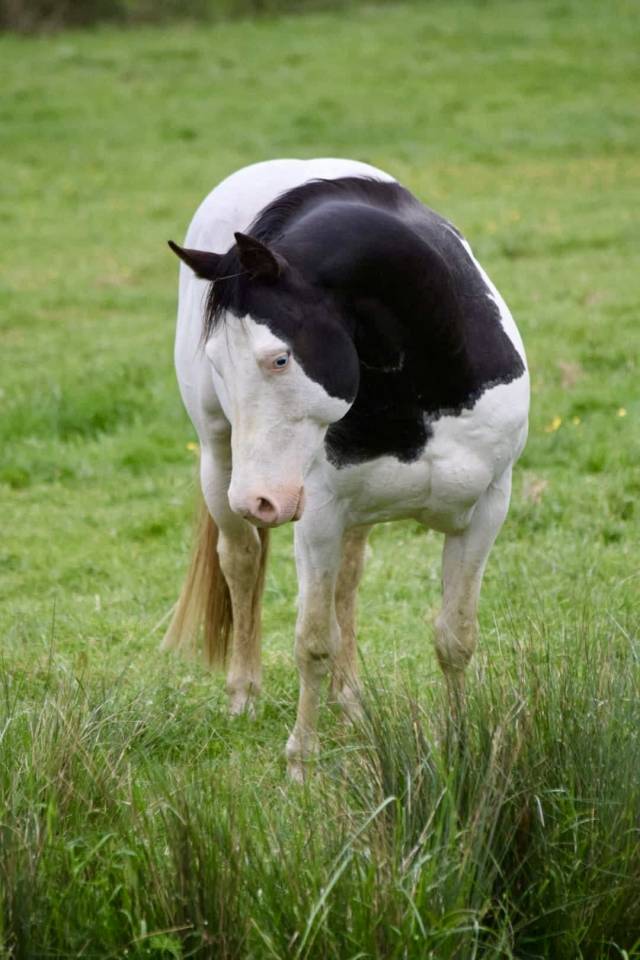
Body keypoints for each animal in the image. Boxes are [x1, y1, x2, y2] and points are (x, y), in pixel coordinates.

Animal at [163, 158, 529, 781]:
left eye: (280, 358)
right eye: (216, 362)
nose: (257, 501)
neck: (420, 377)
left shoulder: (486, 511)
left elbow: (455, 636)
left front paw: (460, 745)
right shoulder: (316, 520)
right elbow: (312, 641)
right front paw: (301, 764)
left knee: (349, 581)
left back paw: (351, 701)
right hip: (220, 460)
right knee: (241, 560)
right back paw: (245, 693)